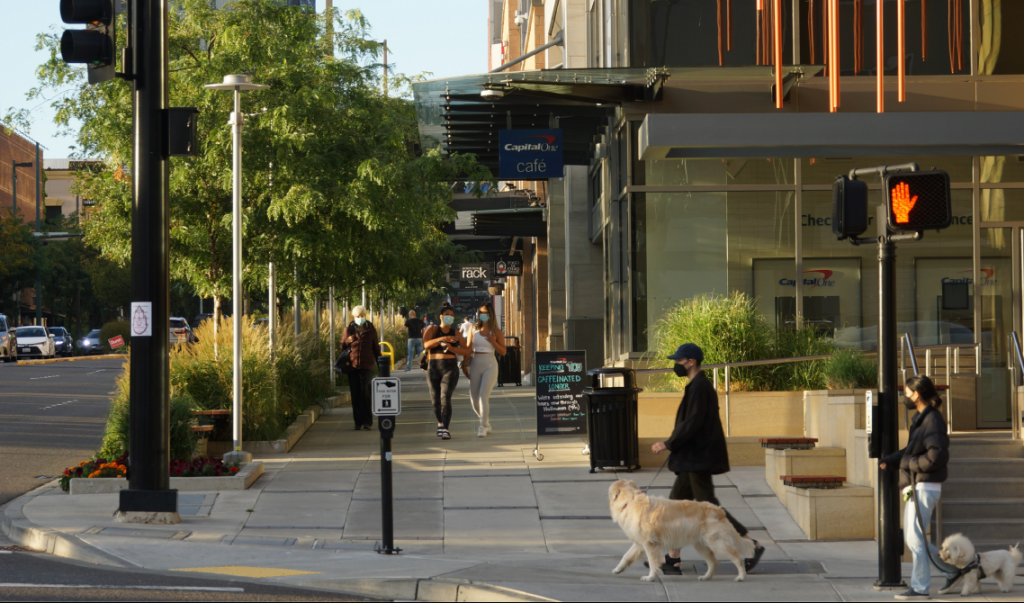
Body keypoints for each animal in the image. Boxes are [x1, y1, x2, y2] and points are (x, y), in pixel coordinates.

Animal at [602, 477, 757, 581]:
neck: (629, 501)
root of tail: (719, 511)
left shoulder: (649, 545)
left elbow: (652, 563)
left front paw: (651, 577)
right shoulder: (640, 544)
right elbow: (626, 556)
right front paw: (618, 569)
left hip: (718, 545)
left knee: (737, 558)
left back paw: (741, 576)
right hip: (702, 546)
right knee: (714, 562)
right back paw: (706, 577)